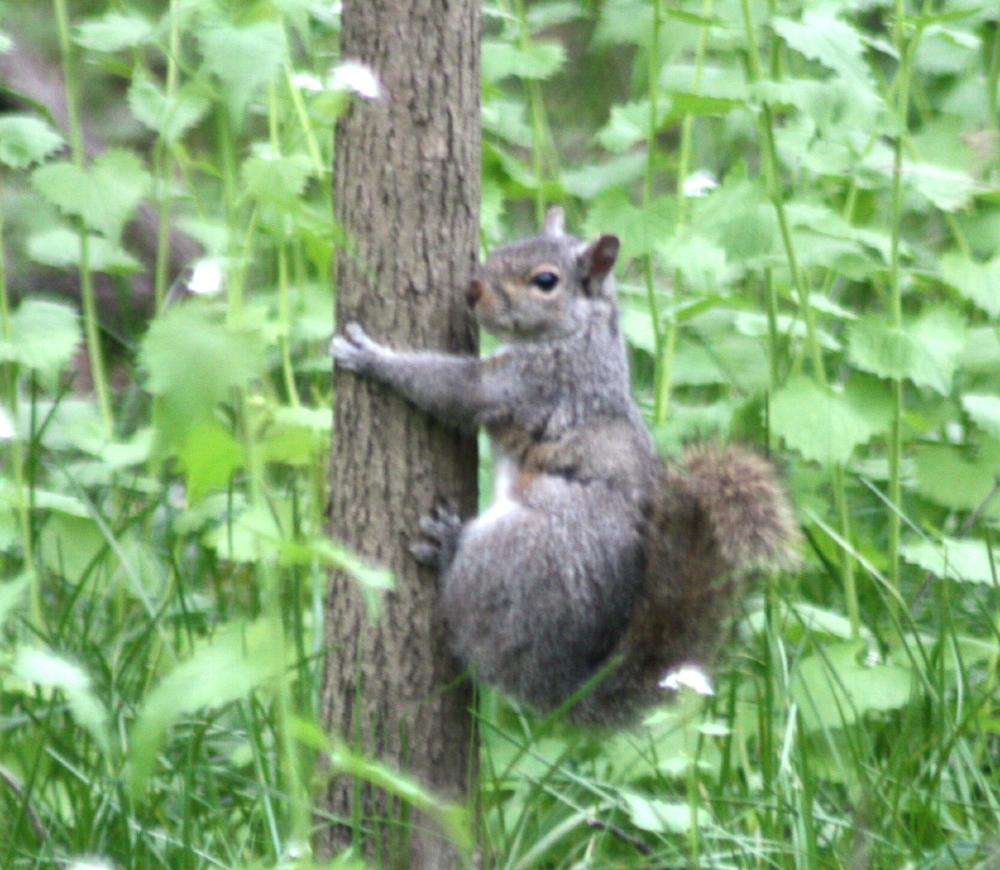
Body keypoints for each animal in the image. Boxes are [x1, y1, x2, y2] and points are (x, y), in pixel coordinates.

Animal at [331, 207, 798, 727]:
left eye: (545, 281)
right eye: (499, 250)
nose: (472, 289)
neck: (578, 335)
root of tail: (560, 686)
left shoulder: (529, 384)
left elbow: (449, 387)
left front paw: (372, 356)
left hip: (523, 551)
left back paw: (449, 544)